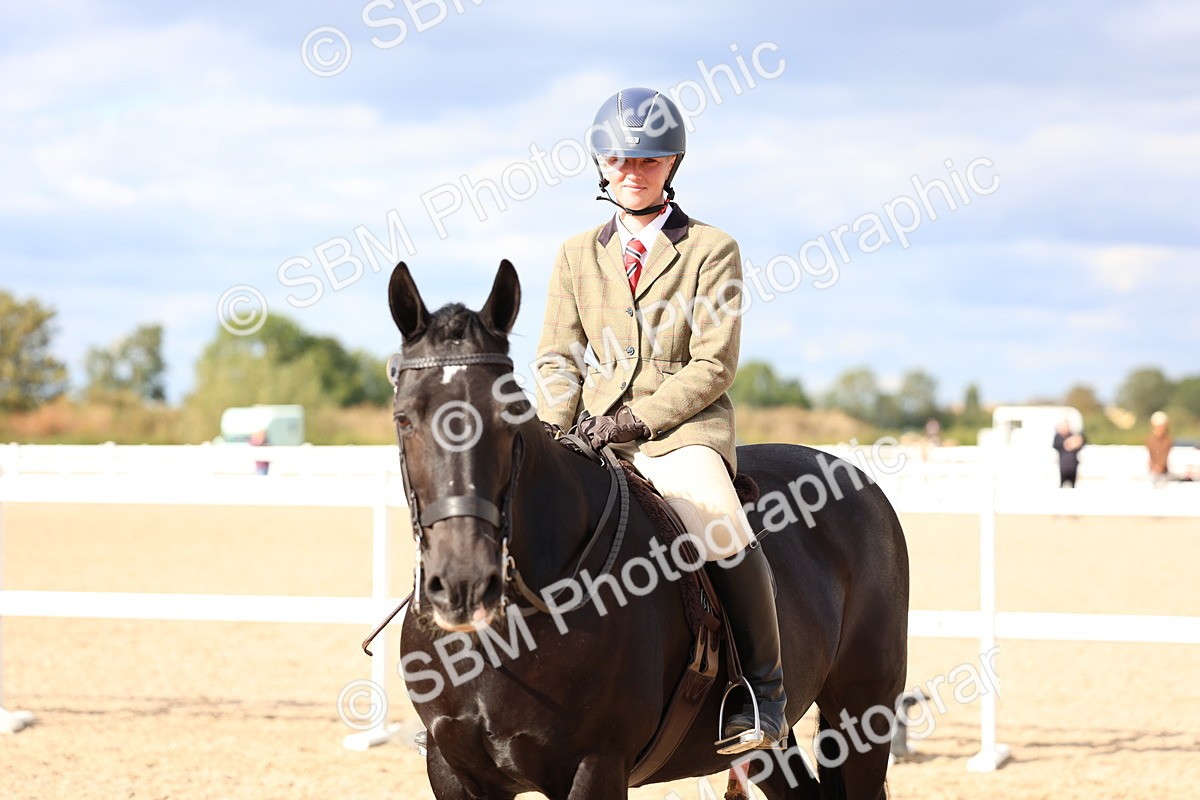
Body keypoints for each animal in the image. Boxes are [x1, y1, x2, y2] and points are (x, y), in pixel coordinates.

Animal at [389, 260, 910, 799]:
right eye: (404, 418)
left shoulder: (596, 766)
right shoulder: (452, 770)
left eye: (509, 416)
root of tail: (853, 475)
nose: (463, 584)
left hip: (864, 707)